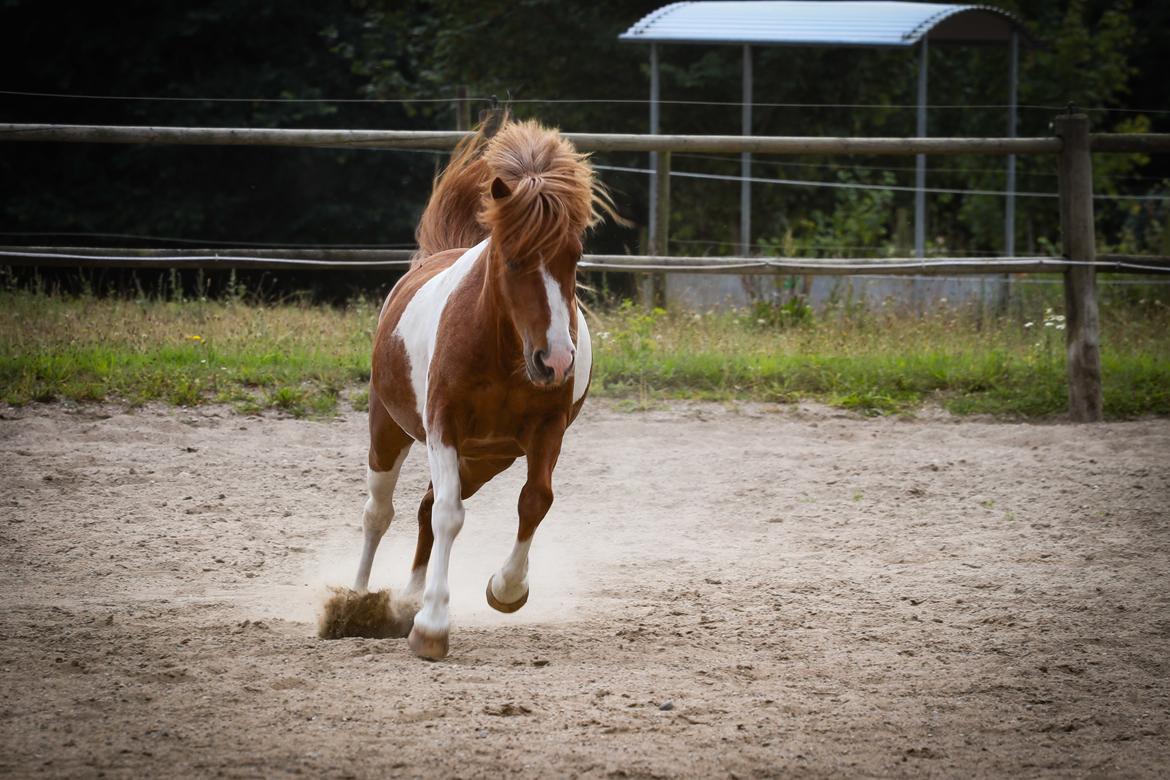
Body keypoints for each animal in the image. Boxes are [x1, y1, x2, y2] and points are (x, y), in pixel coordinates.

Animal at [336, 114, 617, 659]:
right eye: (512, 258)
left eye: (574, 256)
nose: (555, 361)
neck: (502, 353)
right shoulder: (443, 425)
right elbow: (449, 515)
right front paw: (432, 628)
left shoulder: (546, 430)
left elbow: (535, 501)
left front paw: (505, 590)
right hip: (389, 431)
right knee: (379, 513)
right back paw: (356, 601)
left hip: (487, 457)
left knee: (423, 509)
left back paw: (406, 600)